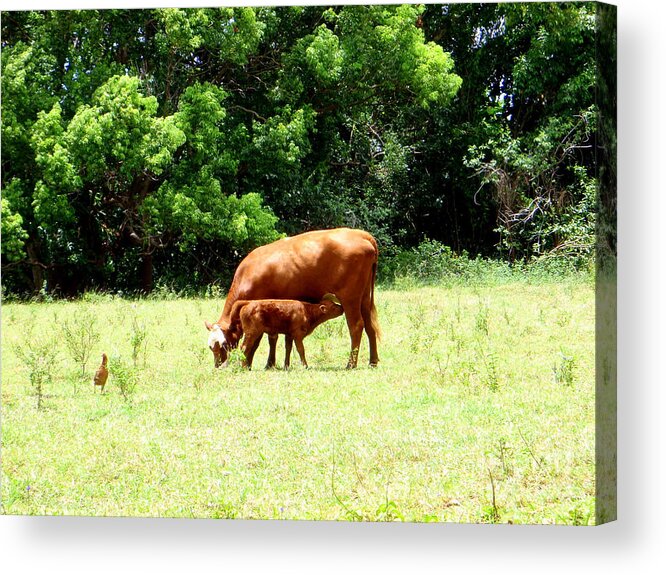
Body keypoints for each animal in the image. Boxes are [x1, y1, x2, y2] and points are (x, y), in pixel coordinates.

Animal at [202, 226, 378, 368]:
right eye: (211, 346)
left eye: (223, 344)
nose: (218, 366)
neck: (249, 274)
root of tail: (361, 234)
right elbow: (272, 339)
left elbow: (265, 339)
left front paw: (263, 364)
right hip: (364, 298)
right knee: (370, 326)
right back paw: (373, 361)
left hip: (350, 299)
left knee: (356, 326)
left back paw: (351, 364)